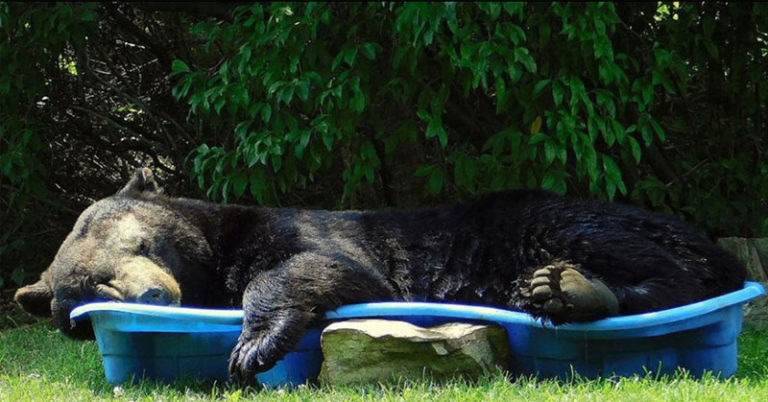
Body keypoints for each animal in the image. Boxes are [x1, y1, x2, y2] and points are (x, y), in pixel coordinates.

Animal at [14, 168, 746, 383]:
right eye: (85, 293)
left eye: (137, 242)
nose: (151, 294)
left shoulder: (303, 231)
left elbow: (324, 268)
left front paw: (254, 345)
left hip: (558, 218)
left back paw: (570, 287)